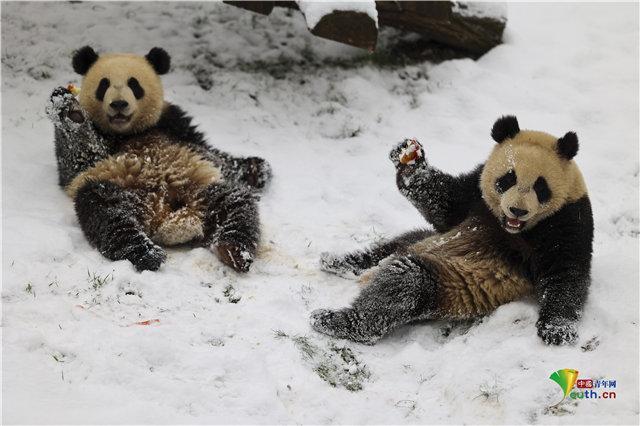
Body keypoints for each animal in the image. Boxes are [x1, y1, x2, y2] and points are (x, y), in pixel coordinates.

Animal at [46, 46, 272, 272]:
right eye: (104, 84)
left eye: (134, 84)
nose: (119, 104)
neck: (128, 132)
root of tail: (164, 213)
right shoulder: (89, 162)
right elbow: (77, 160)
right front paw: (69, 110)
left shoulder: (173, 123)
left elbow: (210, 153)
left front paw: (256, 169)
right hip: (121, 189)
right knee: (104, 209)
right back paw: (146, 253)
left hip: (203, 191)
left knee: (237, 205)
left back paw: (234, 251)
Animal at [311, 116, 593, 345]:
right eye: (508, 179)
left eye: (540, 187)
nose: (517, 210)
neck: (512, 229)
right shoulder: (475, 194)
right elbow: (446, 204)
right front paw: (410, 162)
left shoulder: (569, 219)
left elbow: (567, 272)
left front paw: (556, 329)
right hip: (422, 241)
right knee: (394, 244)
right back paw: (339, 262)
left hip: (448, 285)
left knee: (401, 287)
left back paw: (335, 320)